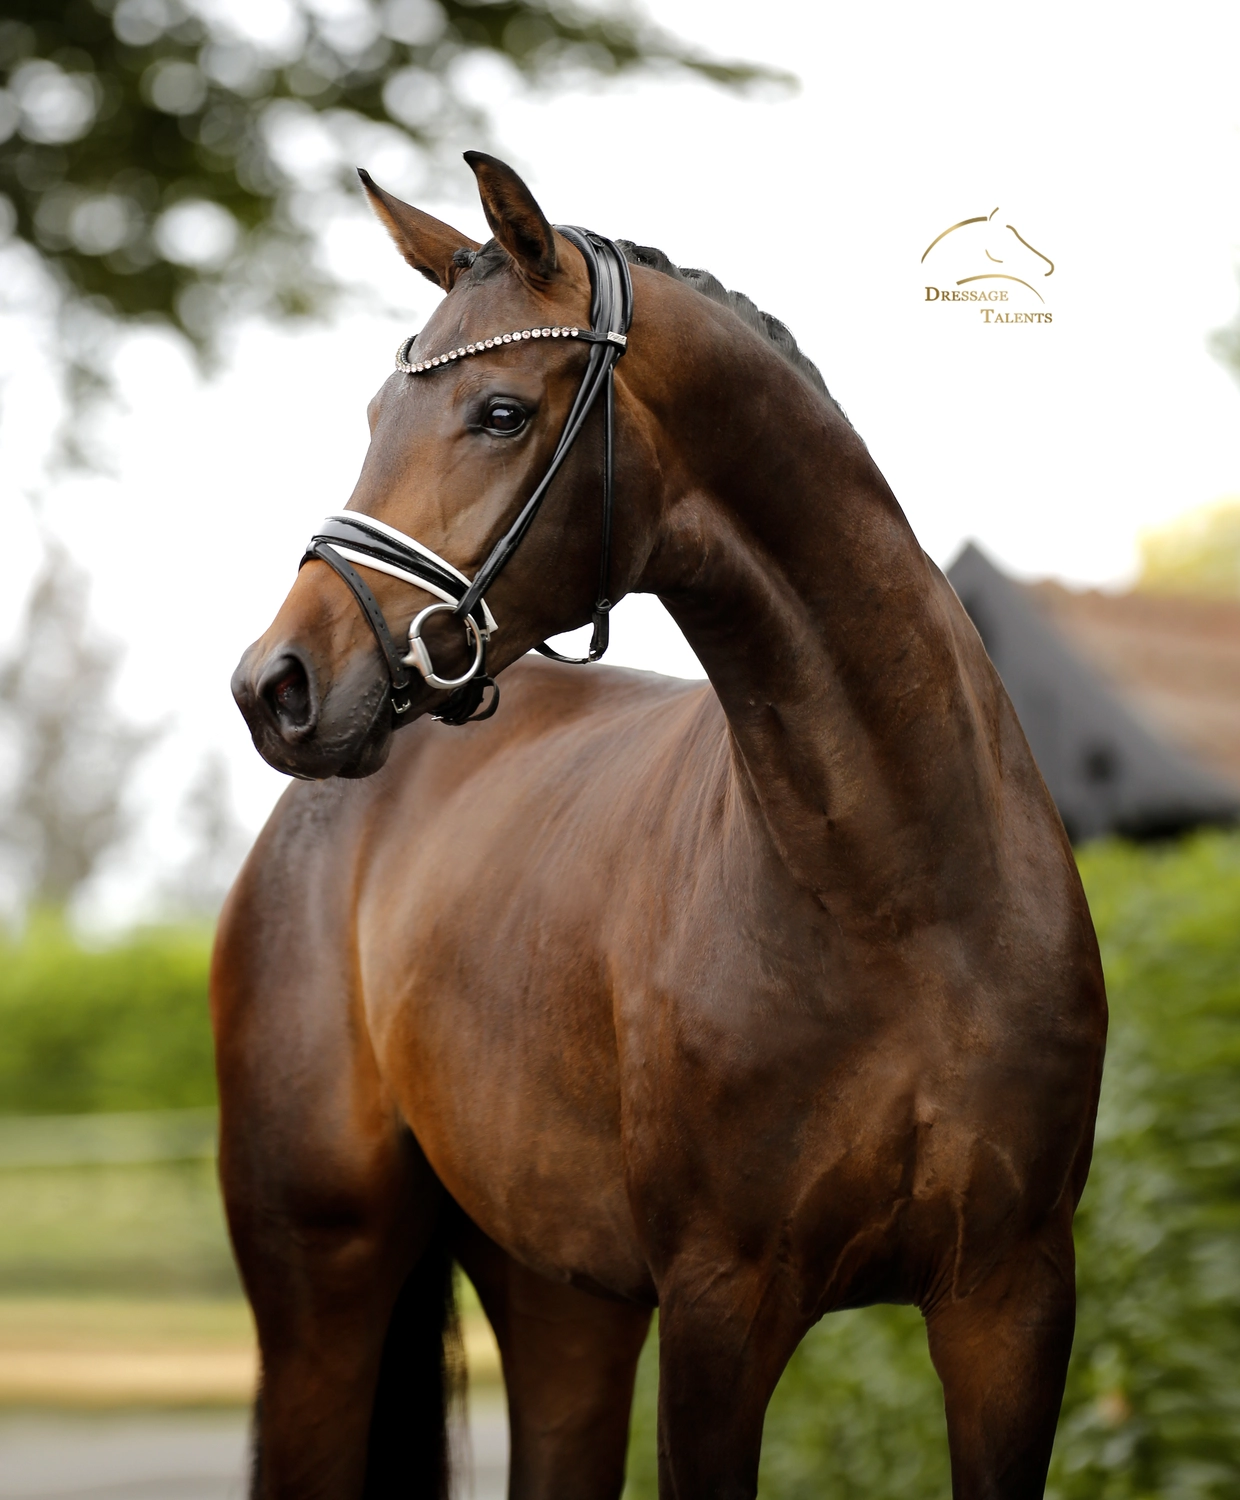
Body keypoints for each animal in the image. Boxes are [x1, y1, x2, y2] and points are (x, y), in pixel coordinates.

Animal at [218, 151, 1107, 1500]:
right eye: (375, 417)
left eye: (498, 413)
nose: (278, 686)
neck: (904, 893)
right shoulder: (720, 1311)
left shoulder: (1011, 1302)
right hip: (322, 1282)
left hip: (560, 1296)